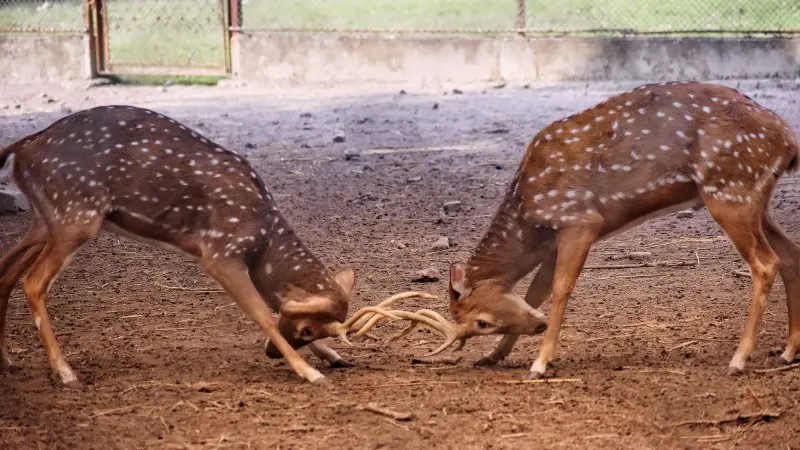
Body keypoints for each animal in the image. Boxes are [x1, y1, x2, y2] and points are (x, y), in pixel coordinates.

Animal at [0, 103, 412, 384]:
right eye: (308, 329)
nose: (270, 355)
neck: (262, 241)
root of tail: (22, 149)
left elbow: (273, 304)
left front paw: (333, 356)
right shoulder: (220, 253)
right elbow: (263, 313)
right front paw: (310, 372)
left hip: (46, 219)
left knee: (6, 269)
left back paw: (8, 359)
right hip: (76, 213)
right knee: (32, 281)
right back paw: (65, 372)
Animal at [412, 81, 800, 380]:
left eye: (480, 322)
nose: (536, 327)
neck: (529, 217)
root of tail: (788, 142)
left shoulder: (579, 220)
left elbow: (561, 289)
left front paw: (539, 363)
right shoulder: (553, 243)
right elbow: (535, 294)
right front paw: (493, 356)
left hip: (729, 191)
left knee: (766, 263)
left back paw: (739, 360)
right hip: (753, 199)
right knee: (790, 255)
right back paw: (787, 351)